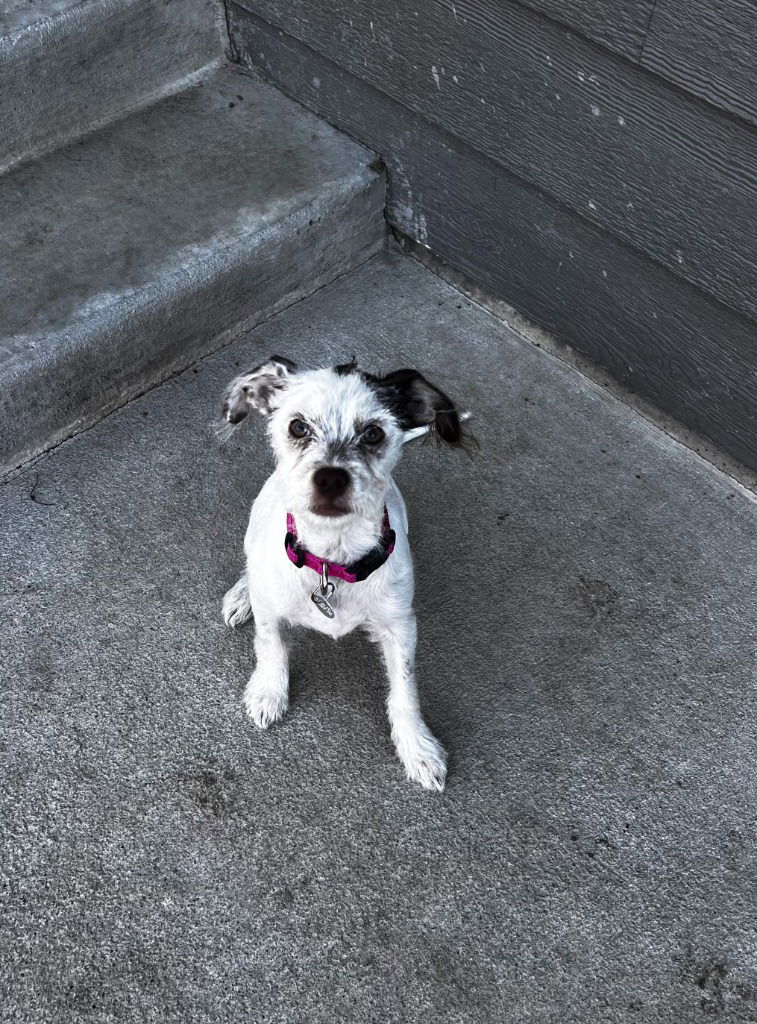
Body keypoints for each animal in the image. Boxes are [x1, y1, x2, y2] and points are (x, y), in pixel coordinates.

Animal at [219, 356, 467, 794]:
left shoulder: (401, 626)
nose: (331, 477)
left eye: (373, 433)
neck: (330, 560)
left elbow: (405, 690)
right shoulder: (272, 615)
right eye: (298, 427)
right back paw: (242, 595)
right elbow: (271, 648)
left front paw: (418, 748)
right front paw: (269, 692)